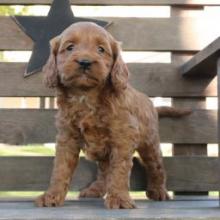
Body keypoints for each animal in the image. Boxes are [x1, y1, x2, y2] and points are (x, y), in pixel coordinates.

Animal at [35, 21, 172, 209]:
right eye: (70, 47)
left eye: (101, 49)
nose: (85, 62)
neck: (86, 96)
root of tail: (149, 102)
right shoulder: (67, 137)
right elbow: (60, 169)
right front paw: (52, 196)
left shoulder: (123, 138)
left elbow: (119, 170)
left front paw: (120, 198)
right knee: (104, 170)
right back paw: (96, 189)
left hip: (149, 142)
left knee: (155, 166)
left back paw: (158, 191)